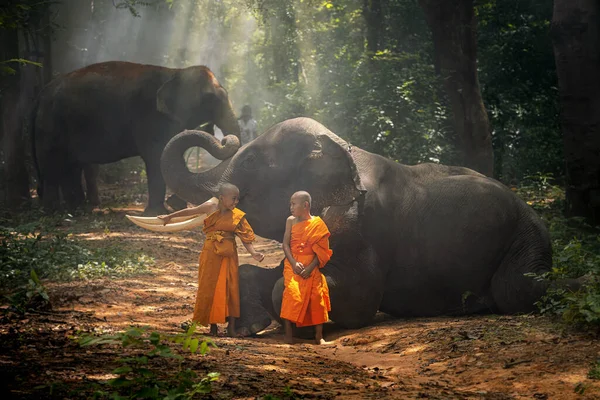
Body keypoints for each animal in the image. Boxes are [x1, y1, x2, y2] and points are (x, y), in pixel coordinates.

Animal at [32, 60, 239, 214]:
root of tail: (40, 94)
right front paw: (158, 212)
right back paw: (53, 211)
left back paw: (77, 210)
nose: (220, 136)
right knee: (52, 163)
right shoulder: (151, 116)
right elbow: (157, 156)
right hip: (51, 124)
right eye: (210, 99)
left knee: (70, 165)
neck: (175, 72)